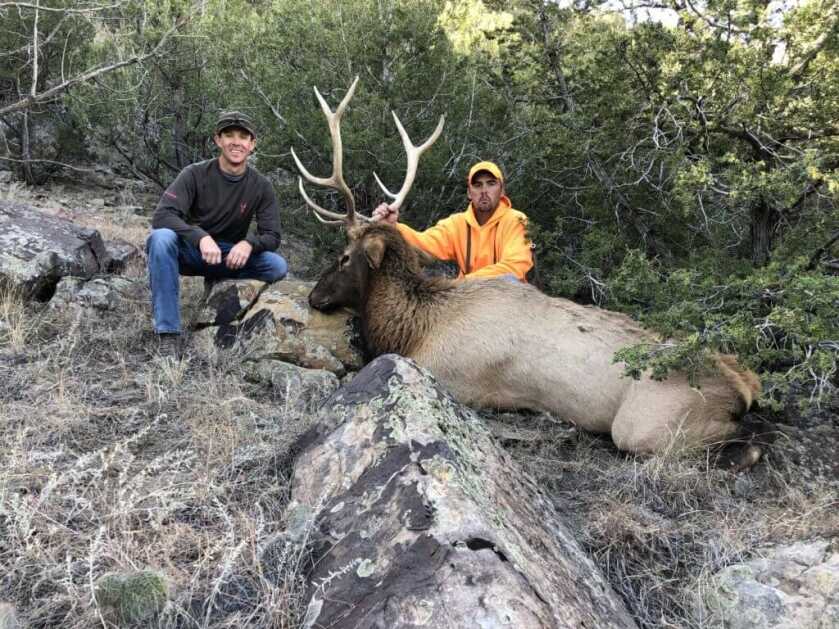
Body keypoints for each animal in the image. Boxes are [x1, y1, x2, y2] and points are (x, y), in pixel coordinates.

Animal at [292, 78, 773, 471]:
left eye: (343, 257)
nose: (314, 295)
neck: (417, 326)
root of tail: (744, 385)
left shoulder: (450, 377)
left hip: (647, 422)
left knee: (741, 443)